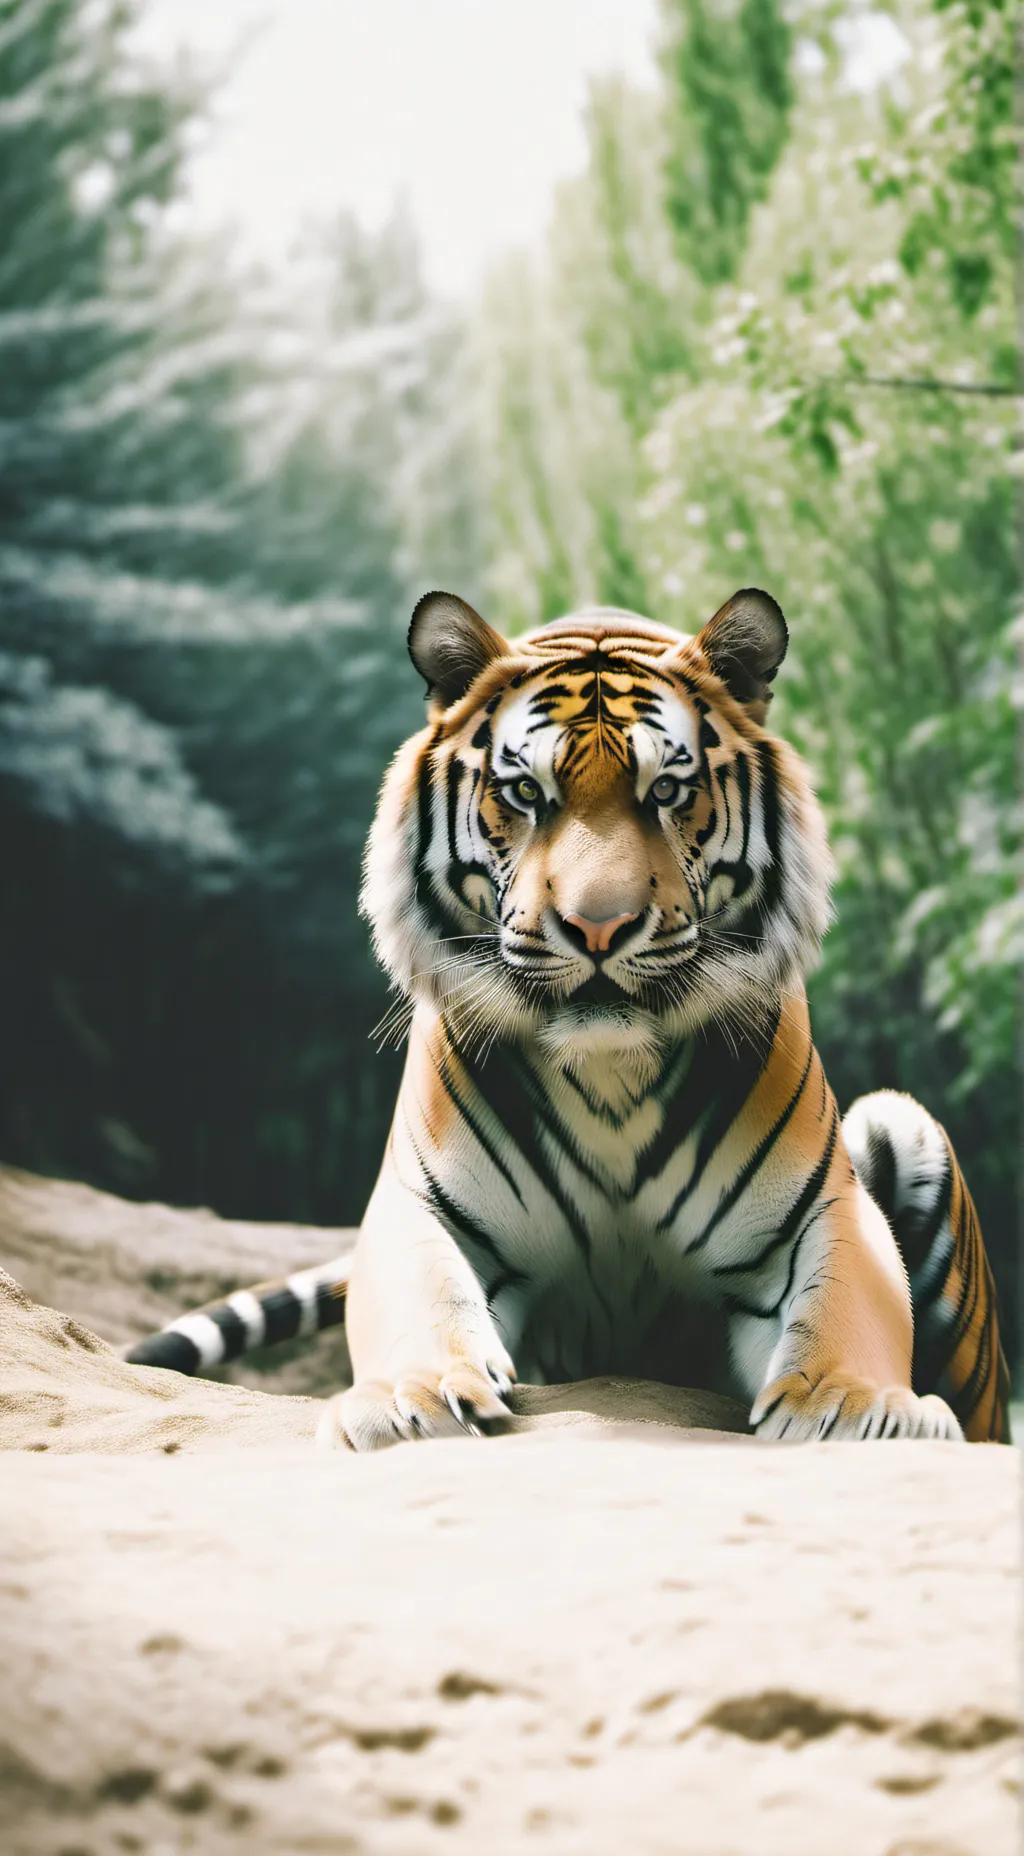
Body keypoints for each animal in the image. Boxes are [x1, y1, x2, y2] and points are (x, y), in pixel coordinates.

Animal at [125, 589, 1011, 1447]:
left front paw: (849, 1407)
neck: (609, 1075)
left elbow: (847, 1309)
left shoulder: (819, 1216)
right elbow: (423, 1304)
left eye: (667, 790)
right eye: (525, 792)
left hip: (902, 1132)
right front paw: (415, 1400)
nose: (598, 928)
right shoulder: (423, 1207)